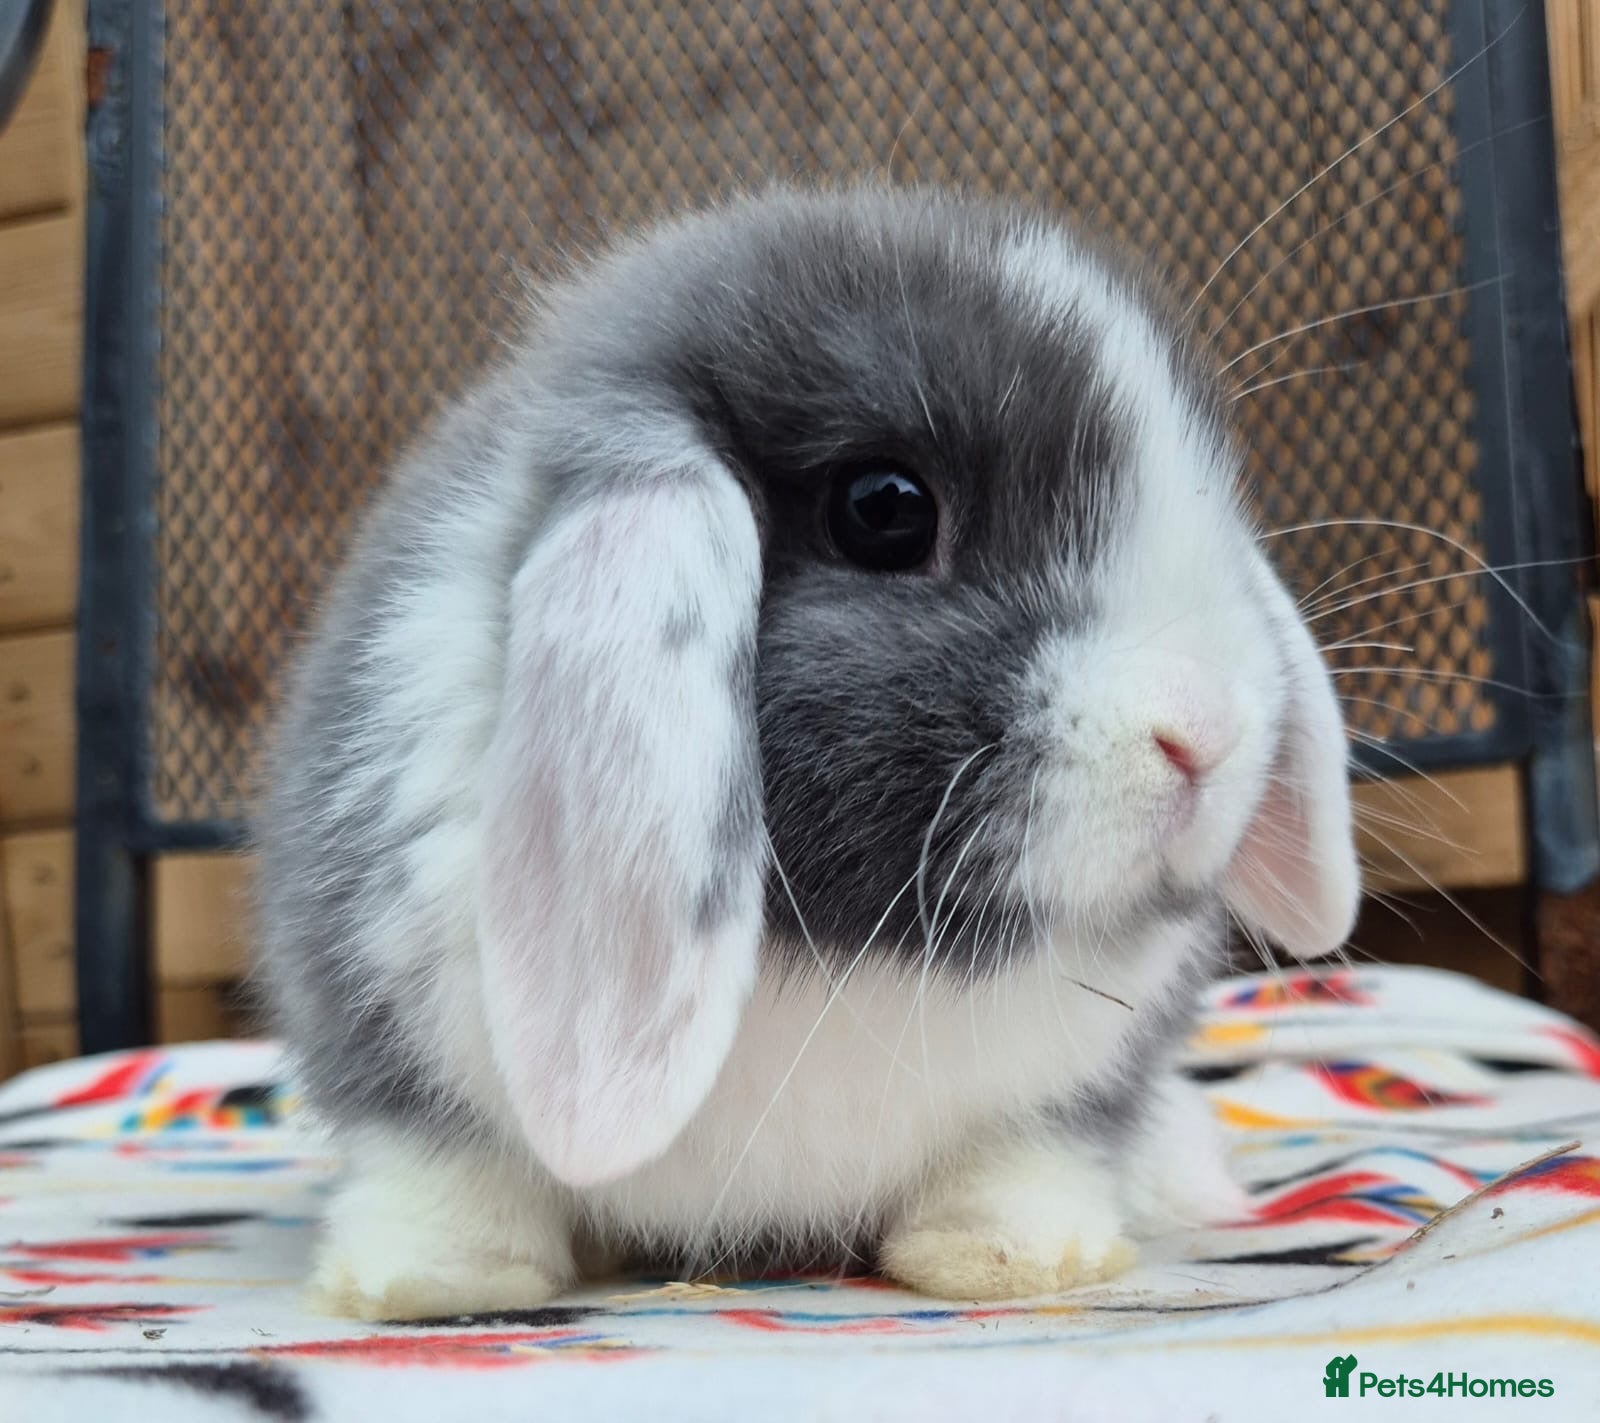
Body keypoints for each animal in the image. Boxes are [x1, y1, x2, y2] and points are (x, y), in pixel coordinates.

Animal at [254, 184, 1359, 1321]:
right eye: (884, 509)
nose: (1206, 734)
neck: (840, 953)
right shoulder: (388, 1030)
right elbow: (439, 1168)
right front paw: (429, 1278)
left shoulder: (1062, 1099)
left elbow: (1027, 1160)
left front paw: (1013, 1256)